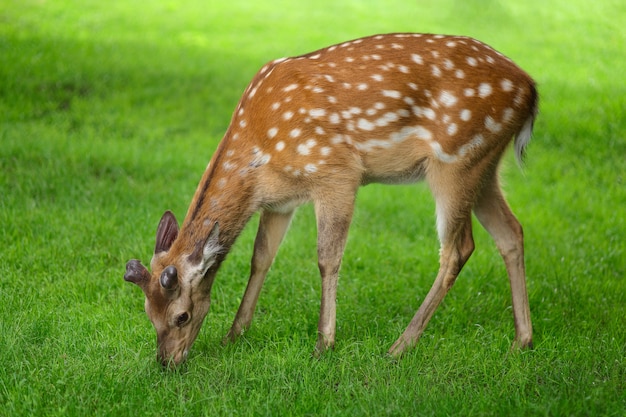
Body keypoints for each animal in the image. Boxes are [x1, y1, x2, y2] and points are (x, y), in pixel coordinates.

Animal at [123, 32, 536, 366]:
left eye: (181, 316)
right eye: (146, 313)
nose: (166, 361)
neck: (258, 153)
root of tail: (531, 89)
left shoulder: (337, 172)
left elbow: (327, 258)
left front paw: (324, 344)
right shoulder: (280, 201)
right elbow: (261, 258)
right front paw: (233, 336)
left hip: (455, 159)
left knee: (458, 248)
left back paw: (400, 346)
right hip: (484, 166)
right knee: (511, 231)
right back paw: (522, 340)